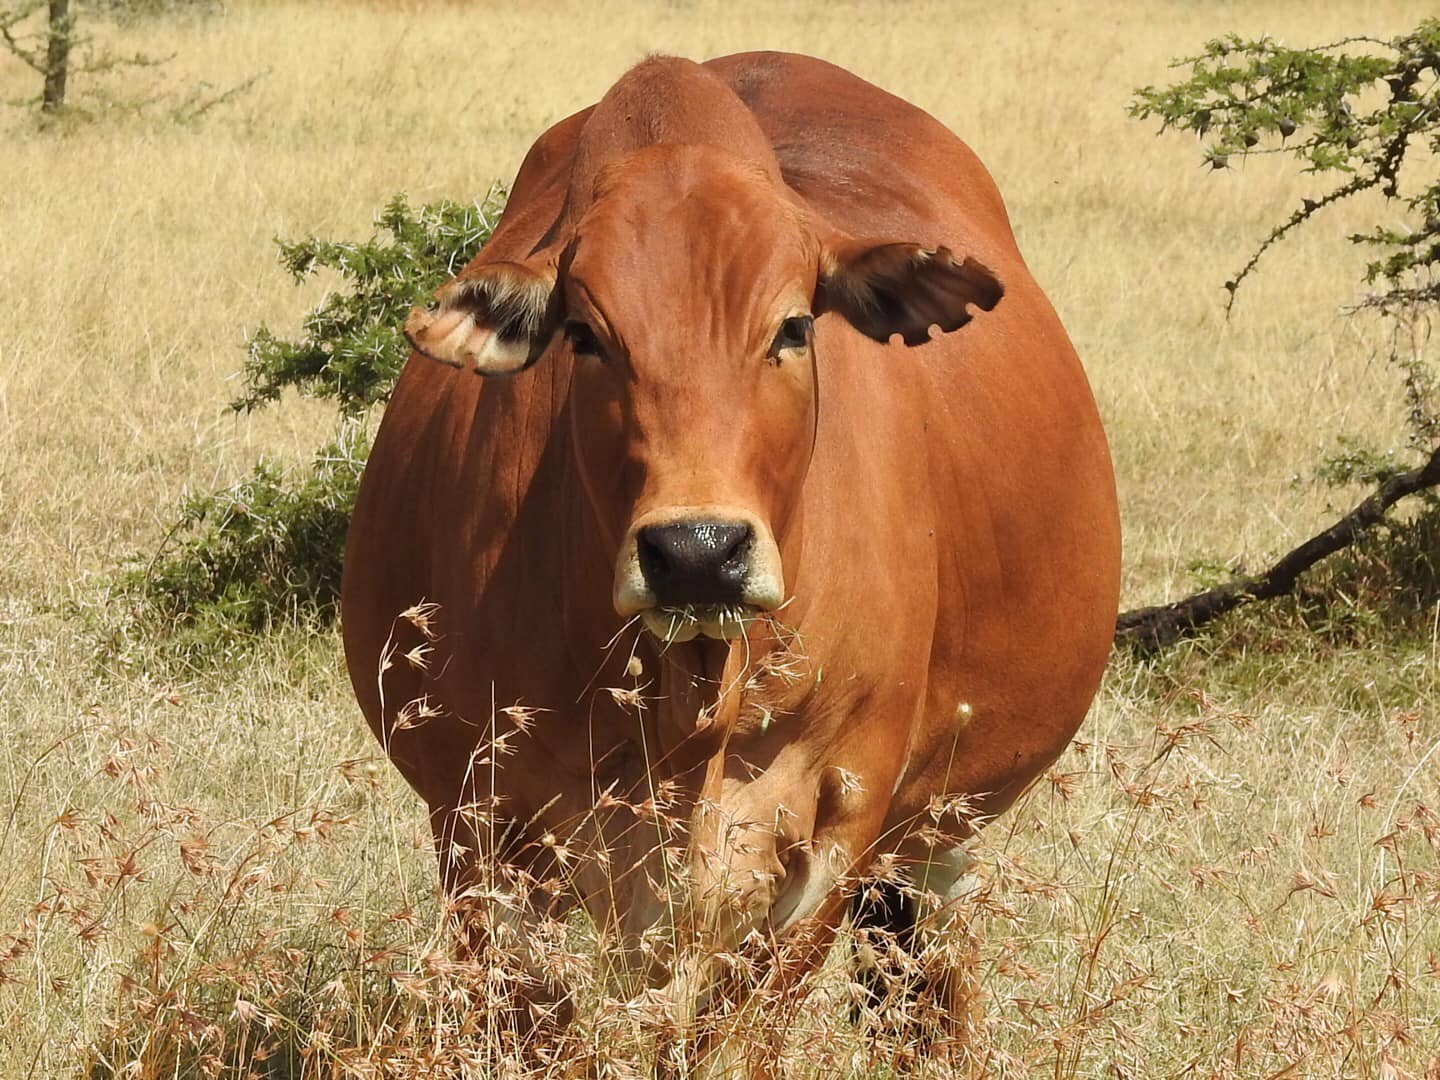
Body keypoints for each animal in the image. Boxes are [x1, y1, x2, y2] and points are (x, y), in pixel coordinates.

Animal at [341, 50, 1120, 1061]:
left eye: (794, 327)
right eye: (585, 335)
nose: (697, 553)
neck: (689, 704)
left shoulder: (834, 831)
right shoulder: (483, 836)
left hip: (940, 834)